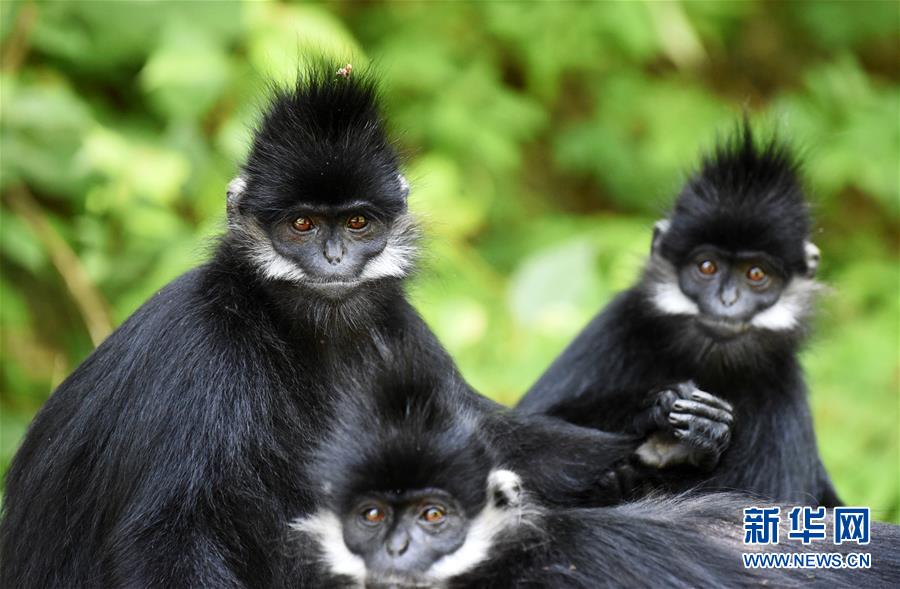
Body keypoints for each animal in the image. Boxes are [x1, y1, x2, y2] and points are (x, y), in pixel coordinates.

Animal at [0, 64, 716, 588]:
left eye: (358, 222)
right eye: (302, 225)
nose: (335, 258)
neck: (298, 330)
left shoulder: (400, 327)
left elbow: (483, 441)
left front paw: (665, 432)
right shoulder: (202, 347)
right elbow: (168, 538)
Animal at [516, 127, 840, 506]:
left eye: (756, 274)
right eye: (707, 266)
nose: (727, 300)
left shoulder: (784, 388)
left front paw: (706, 428)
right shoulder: (615, 324)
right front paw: (657, 404)